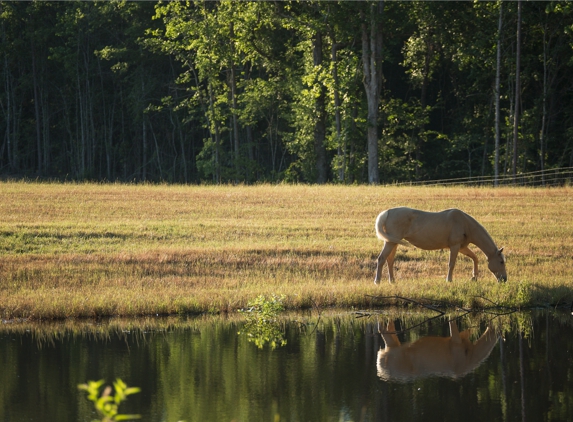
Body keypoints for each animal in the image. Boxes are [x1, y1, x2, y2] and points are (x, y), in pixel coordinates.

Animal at [376, 208, 504, 284]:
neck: (465, 223)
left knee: (390, 260)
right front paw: (449, 280)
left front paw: (474, 277)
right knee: (382, 259)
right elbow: (451, 264)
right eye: (501, 262)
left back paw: (392, 281)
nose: (504, 279)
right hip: (390, 242)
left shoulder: (462, 247)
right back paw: (377, 281)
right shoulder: (455, 246)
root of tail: (388, 212)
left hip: (393, 242)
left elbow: (475, 258)